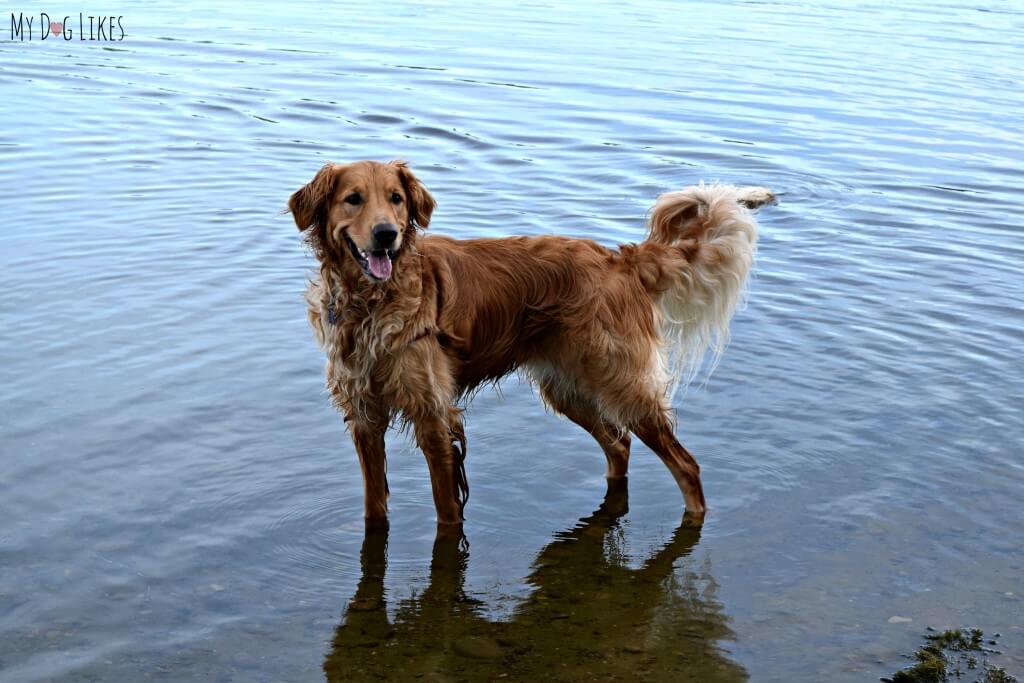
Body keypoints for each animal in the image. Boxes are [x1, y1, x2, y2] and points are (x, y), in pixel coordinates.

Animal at [286, 160, 770, 528]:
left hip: (624, 386)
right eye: (354, 199)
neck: (372, 305)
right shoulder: (364, 416)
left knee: (685, 464)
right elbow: (375, 506)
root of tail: (619, 259)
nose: (387, 234)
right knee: (618, 445)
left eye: (396, 198)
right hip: (566, 388)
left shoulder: (433, 415)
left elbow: (447, 510)